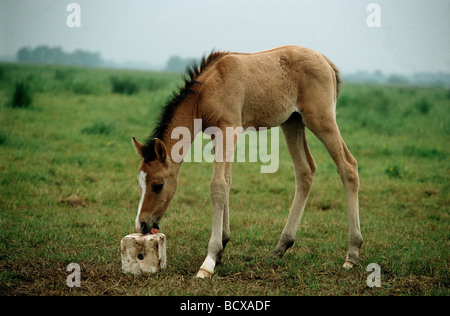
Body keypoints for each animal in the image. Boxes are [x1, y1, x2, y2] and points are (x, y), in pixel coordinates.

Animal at [132, 45, 364, 278]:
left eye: (158, 185)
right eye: (140, 184)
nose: (141, 224)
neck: (206, 91)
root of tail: (325, 61)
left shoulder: (228, 130)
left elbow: (217, 186)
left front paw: (209, 261)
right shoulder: (217, 135)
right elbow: (226, 182)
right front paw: (222, 247)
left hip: (321, 119)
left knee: (348, 167)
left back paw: (352, 253)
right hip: (292, 122)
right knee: (305, 171)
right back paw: (281, 247)